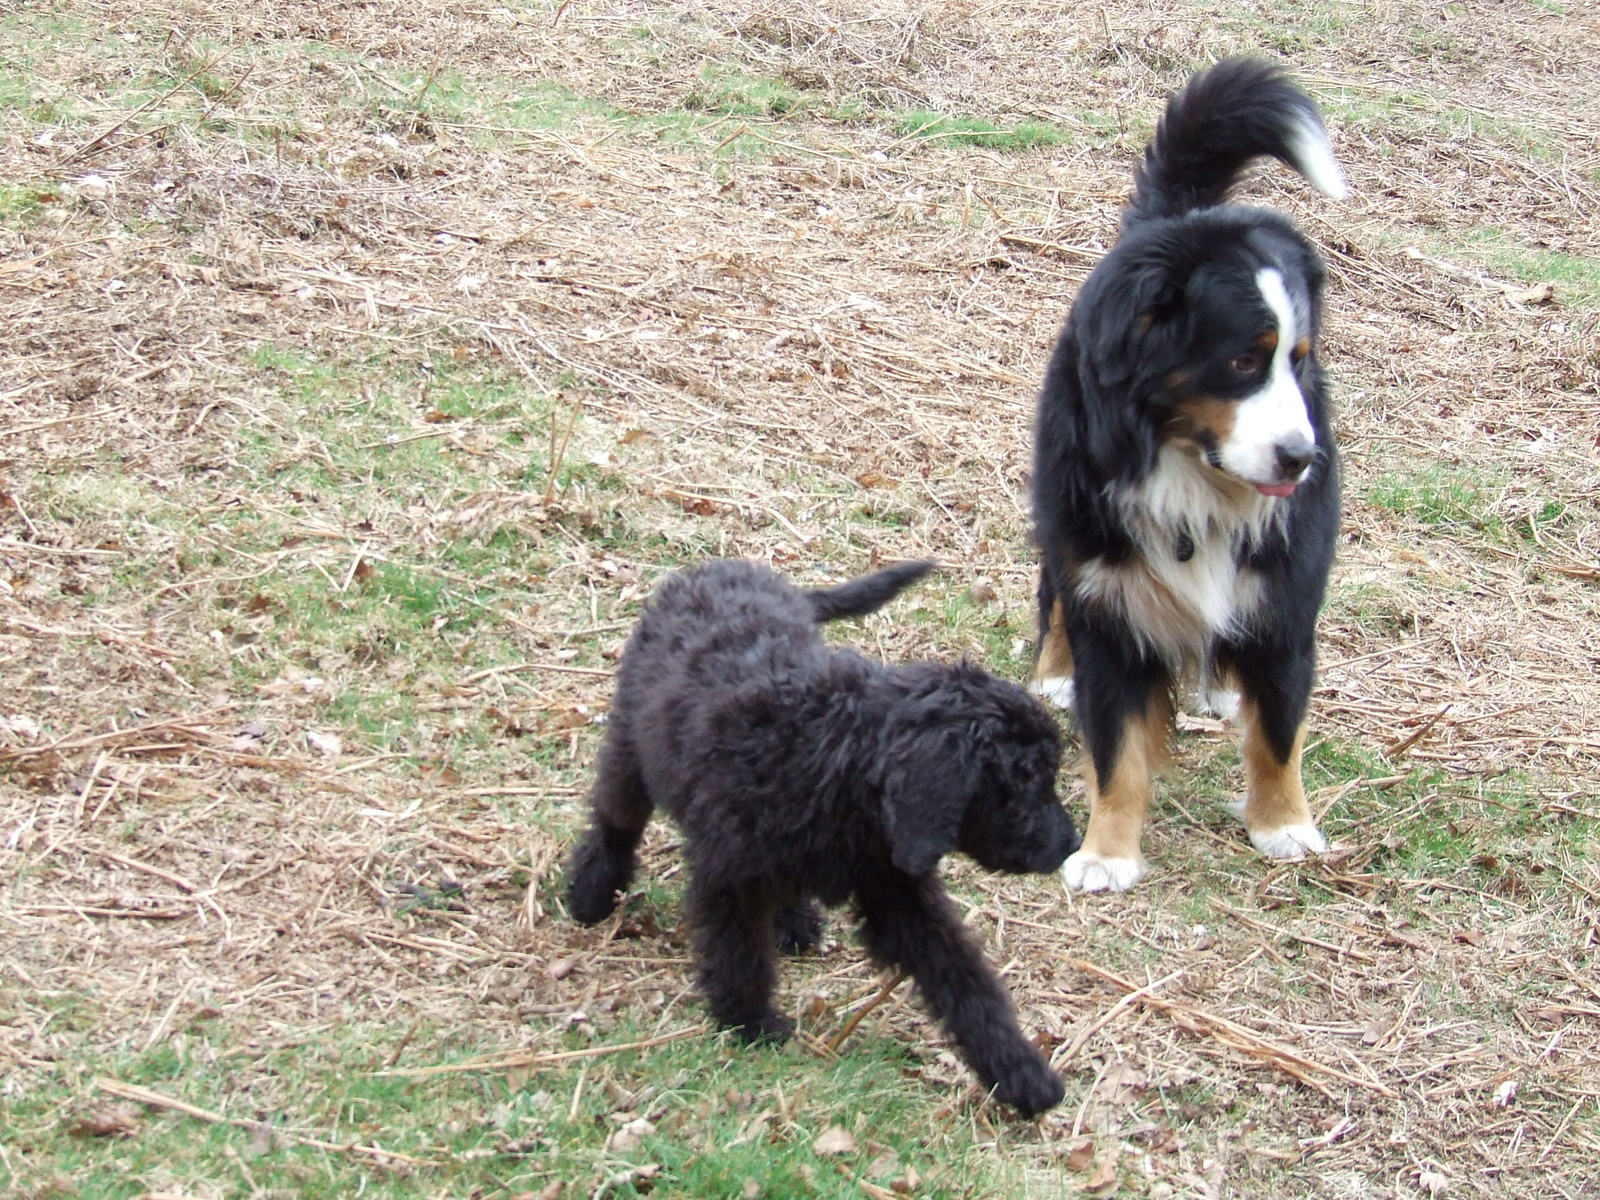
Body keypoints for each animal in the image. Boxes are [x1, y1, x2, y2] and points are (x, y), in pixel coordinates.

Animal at [569, 563, 1081, 1120]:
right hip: (631, 748)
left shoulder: (896, 891)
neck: (838, 755)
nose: (1072, 844)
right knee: (614, 823)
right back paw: (590, 892)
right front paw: (749, 1021)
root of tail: (722, 567)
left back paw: (793, 921)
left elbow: (963, 978)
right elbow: (738, 954)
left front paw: (1021, 1071)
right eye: (1026, 780)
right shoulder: (729, 876)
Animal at [1036, 61, 1350, 896]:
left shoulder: (1285, 593)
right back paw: (1054, 670)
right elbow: (1117, 749)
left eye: (1299, 359)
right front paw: (1107, 853)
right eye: (1242, 360)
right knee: (1055, 590)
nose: (1301, 458)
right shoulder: (1111, 602)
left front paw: (1284, 825)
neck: (1191, 479)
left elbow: (1279, 728)